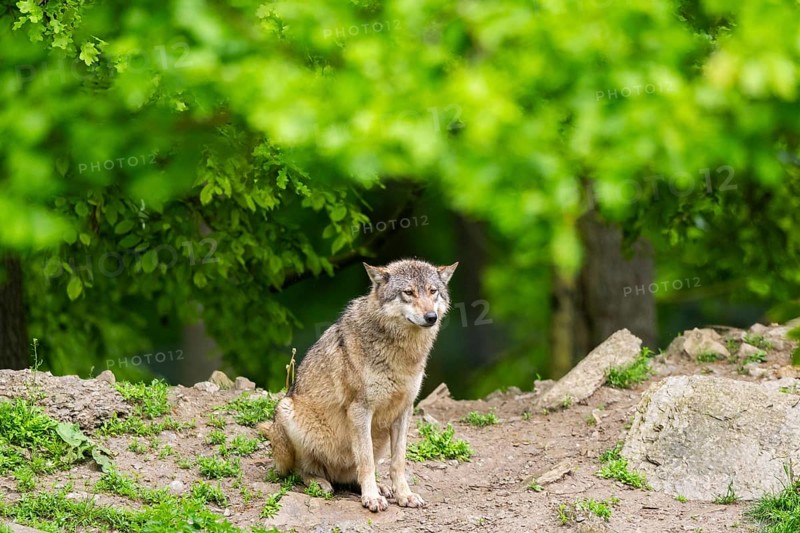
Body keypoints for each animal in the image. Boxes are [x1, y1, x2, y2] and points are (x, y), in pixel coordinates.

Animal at [265, 259, 458, 512]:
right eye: (409, 292)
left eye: (432, 291)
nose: (431, 316)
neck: (400, 353)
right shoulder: (360, 410)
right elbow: (366, 462)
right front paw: (372, 498)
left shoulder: (404, 410)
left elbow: (398, 462)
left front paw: (404, 495)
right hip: (287, 411)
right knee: (298, 471)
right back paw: (320, 483)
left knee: (351, 476)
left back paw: (380, 488)